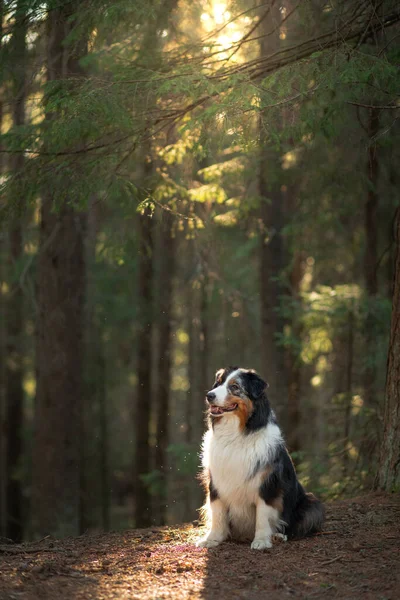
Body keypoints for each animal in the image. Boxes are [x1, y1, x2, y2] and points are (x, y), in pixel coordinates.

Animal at [197, 366, 324, 548]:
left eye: (235, 386)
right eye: (218, 383)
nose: (209, 395)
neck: (237, 434)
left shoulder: (267, 484)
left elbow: (263, 515)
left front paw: (262, 541)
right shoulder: (217, 481)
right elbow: (217, 512)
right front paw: (212, 539)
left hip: (312, 505)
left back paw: (278, 536)